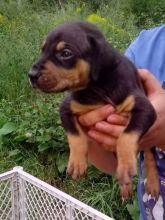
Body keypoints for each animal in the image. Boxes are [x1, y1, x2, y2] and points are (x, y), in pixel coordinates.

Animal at [28, 21, 160, 199]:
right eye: (43, 50)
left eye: (65, 53)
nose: (31, 75)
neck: (96, 89)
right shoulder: (66, 108)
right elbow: (75, 136)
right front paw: (77, 163)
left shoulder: (145, 108)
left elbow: (126, 136)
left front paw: (126, 165)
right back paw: (125, 186)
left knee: (149, 156)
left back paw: (152, 184)